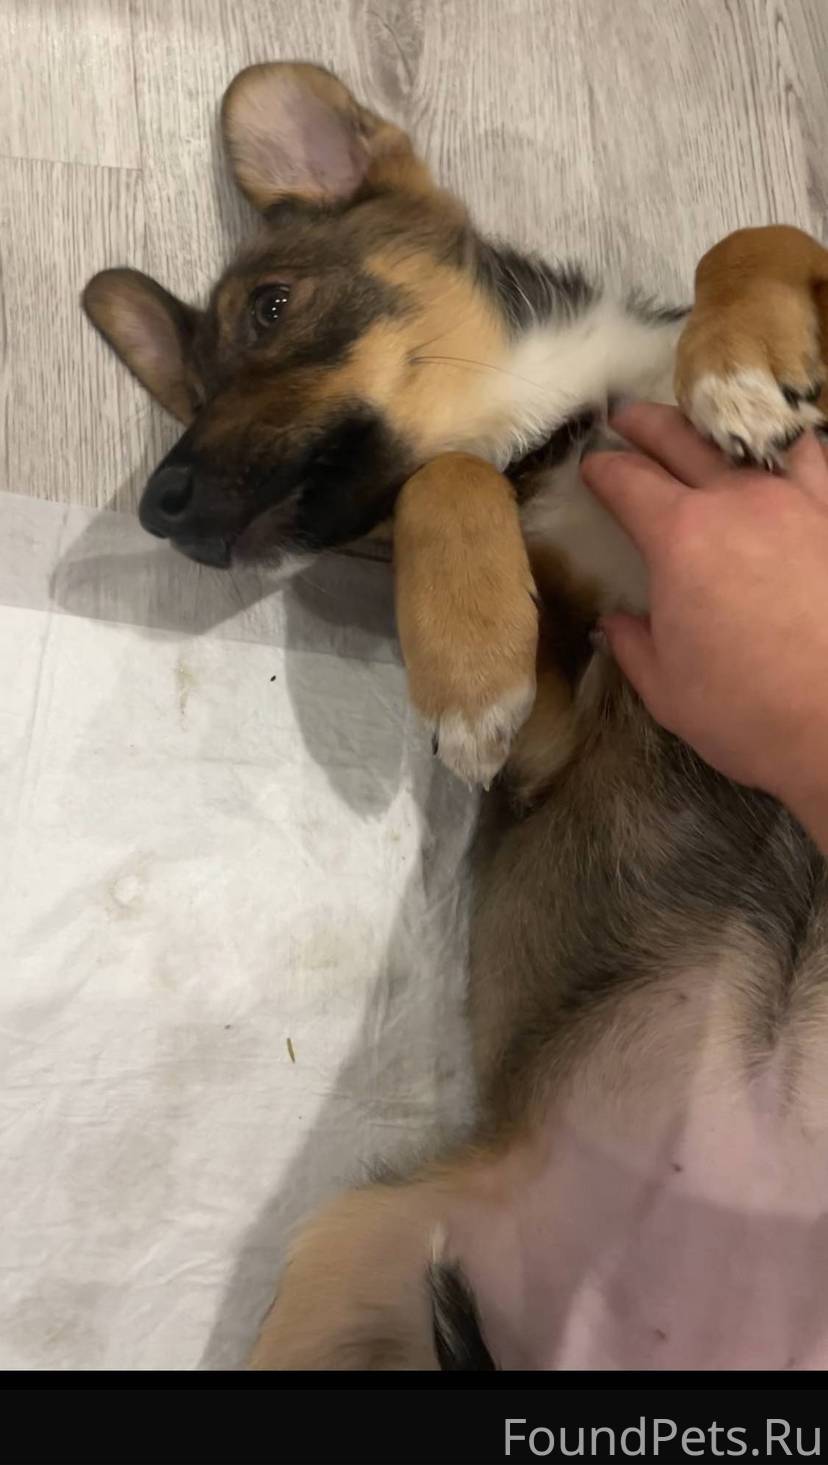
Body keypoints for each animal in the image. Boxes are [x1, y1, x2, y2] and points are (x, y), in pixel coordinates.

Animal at [84, 62, 828, 1369]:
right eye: (193, 393)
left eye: (272, 307)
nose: (160, 505)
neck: (570, 419)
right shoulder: (555, 737)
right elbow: (447, 477)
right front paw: (469, 664)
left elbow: (760, 234)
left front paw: (737, 366)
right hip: (341, 1266)